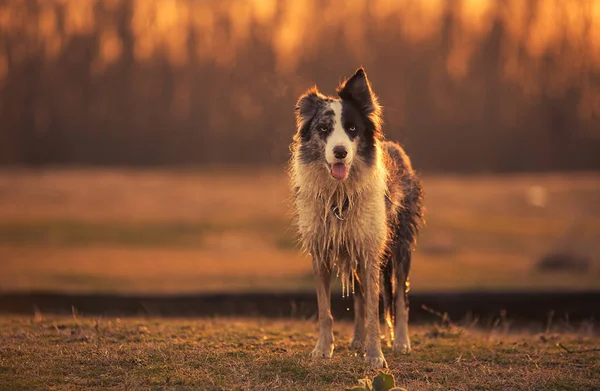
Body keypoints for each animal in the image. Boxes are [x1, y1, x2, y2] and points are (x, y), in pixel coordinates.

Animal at [288, 68, 422, 370]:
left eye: (352, 129)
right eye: (323, 129)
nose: (340, 152)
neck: (340, 195)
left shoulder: (371, 249)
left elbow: (376, 309)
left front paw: (375, 356)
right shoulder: (322, 250)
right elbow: (326, 310)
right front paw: (323, 349)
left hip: (400, 244)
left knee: (400, 296)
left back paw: (401, 342)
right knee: (360, 297)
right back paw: (358, 340)